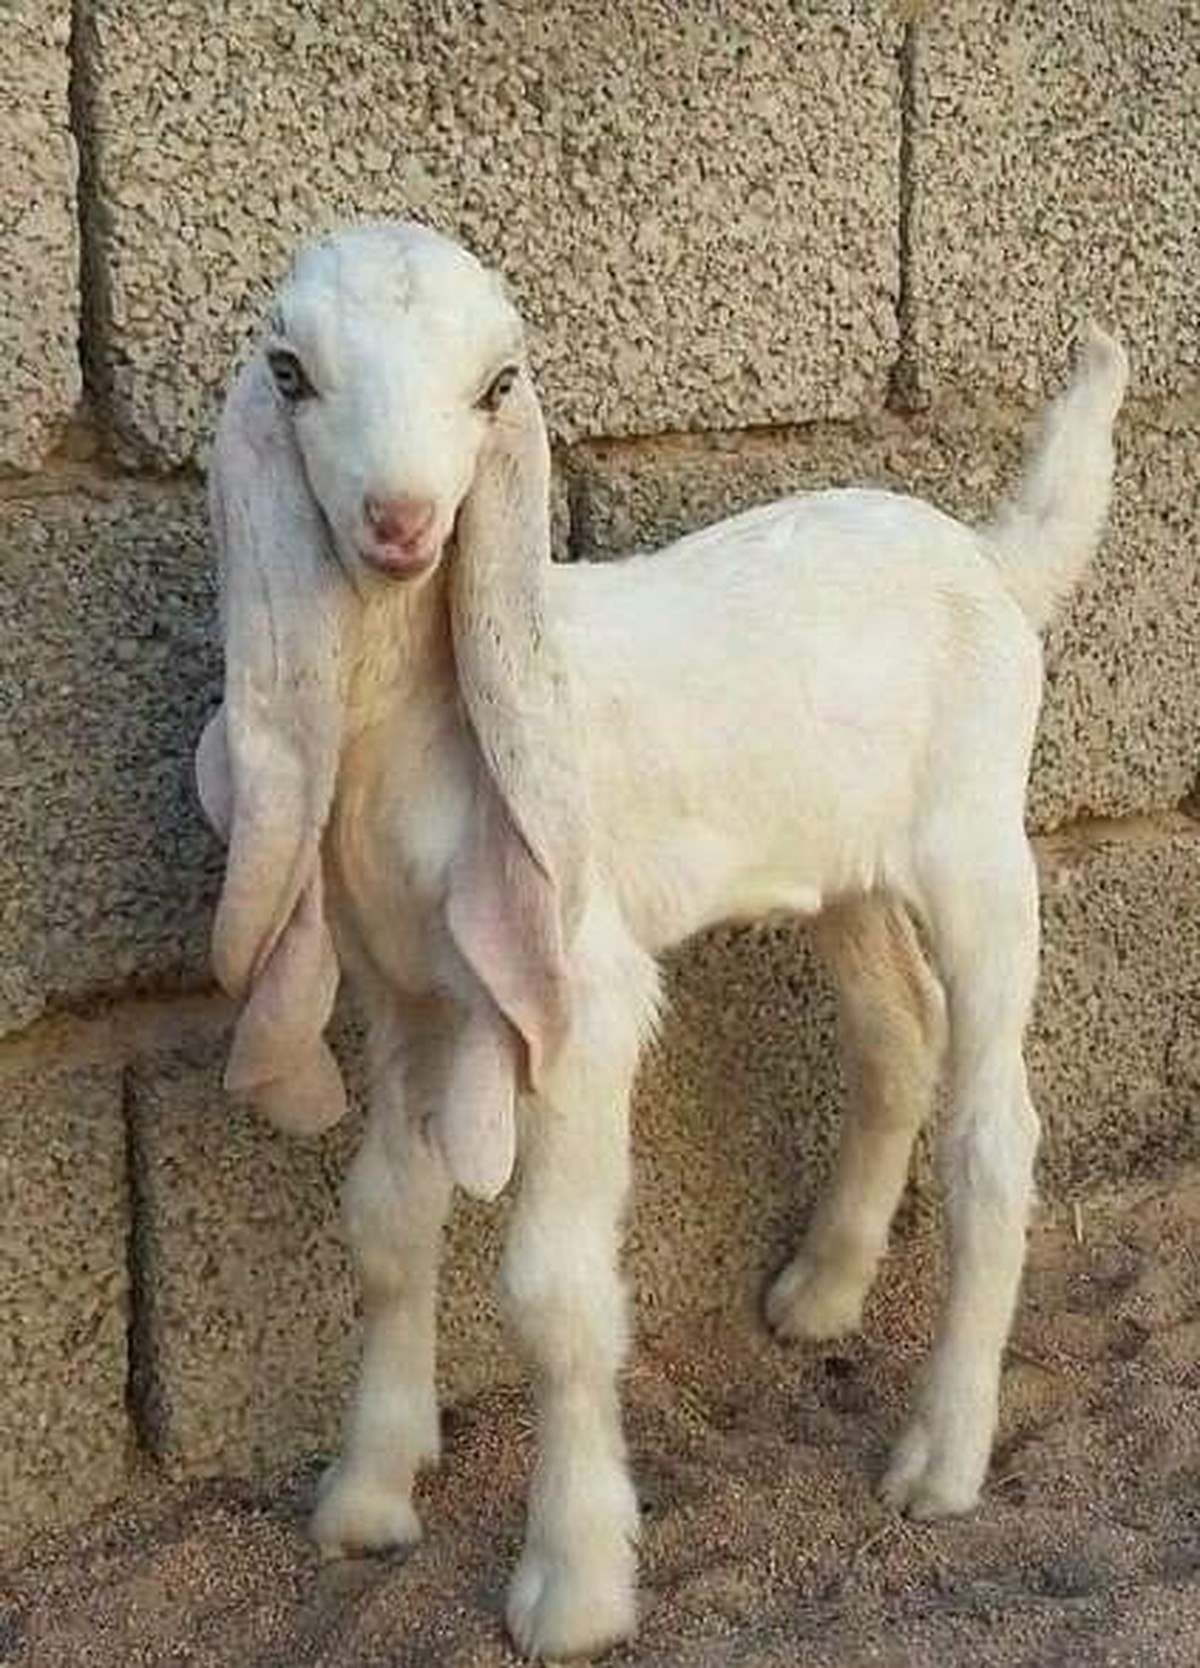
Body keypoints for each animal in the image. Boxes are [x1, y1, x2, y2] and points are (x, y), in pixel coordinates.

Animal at [196, 220, 1128, 1661]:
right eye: (289, 371)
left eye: (498, 385)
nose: (402, 526)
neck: (421, 723)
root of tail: (988, 555)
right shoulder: (408, 994)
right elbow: (387, 1227)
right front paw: (366, 1497)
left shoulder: (576, 993)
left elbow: (553, 1296)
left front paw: (573, 1585)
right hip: (842, 869)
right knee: (895, 1040)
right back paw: (822, 1295)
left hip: (979, 844)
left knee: (994, 1131)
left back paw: (941, 1460)